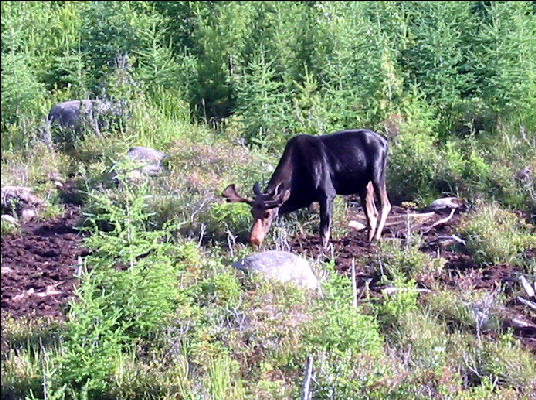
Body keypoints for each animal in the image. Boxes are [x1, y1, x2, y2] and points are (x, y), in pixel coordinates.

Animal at [220, 129, 392, 247]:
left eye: (268, 214)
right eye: (252, 212)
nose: (254, 240)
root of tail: (384, 141)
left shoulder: (328, 194)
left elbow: (324, 230)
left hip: (378, 174)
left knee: (385, 204)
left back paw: (376, 238)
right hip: (364, 184)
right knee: (371, 212)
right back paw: (368, 239)